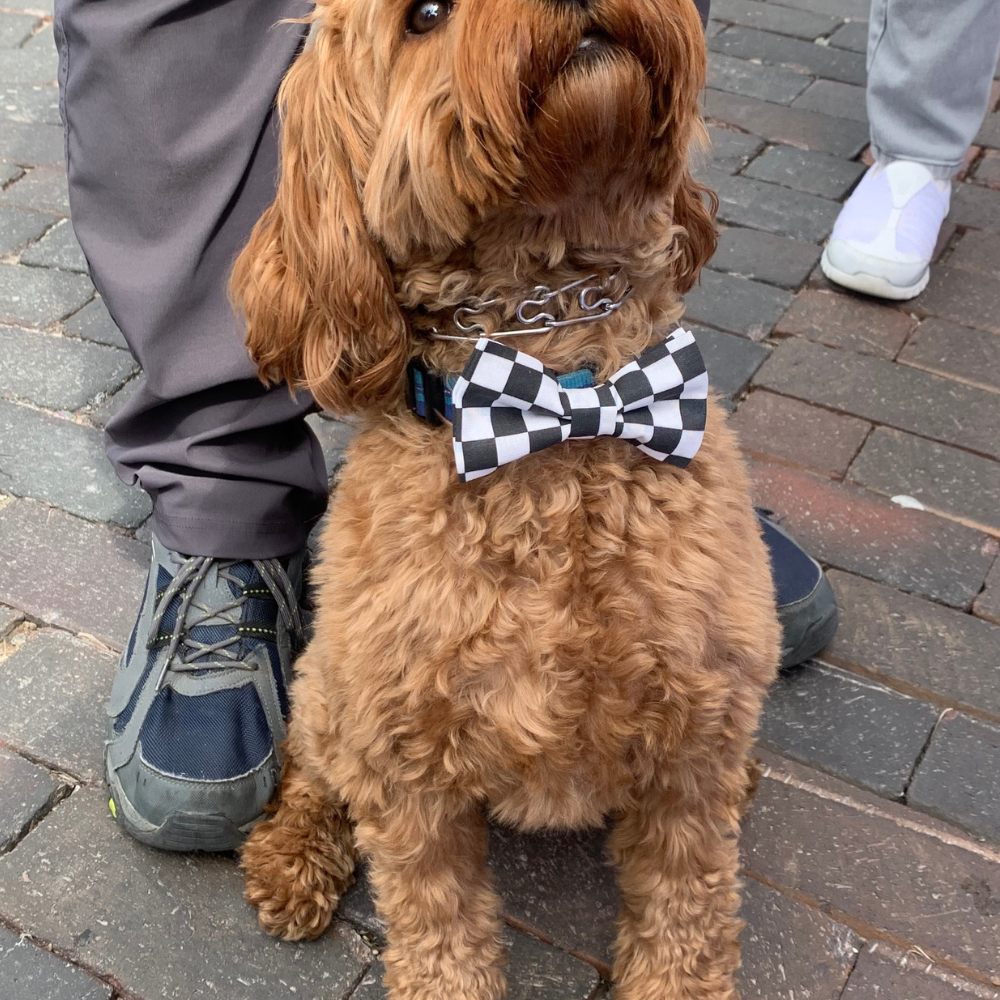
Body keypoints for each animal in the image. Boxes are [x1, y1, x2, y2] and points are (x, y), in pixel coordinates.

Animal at [232, 1, 780, 997]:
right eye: (425, 16)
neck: (557, 399)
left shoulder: (693, 745)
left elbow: (687, 914)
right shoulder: (403, 762)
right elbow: (438, 924)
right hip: (332, 684)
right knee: (309, 762)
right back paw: (292, 854)